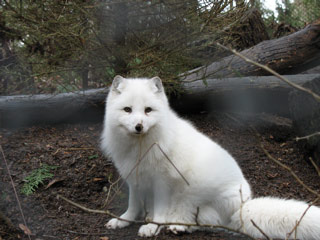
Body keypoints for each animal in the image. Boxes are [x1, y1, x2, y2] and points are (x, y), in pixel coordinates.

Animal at [101, 76, 320, 238]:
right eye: (128, 110)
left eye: (148, 110)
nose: (139, 126)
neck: (140, 148)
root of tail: (242, 207)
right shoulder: (134, 178)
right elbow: (133, 205)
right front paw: (123, 220)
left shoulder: (161, 182)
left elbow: (159, 211)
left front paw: (153, 226)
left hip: (192, 197)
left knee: (210, 223)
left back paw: (178, 226)